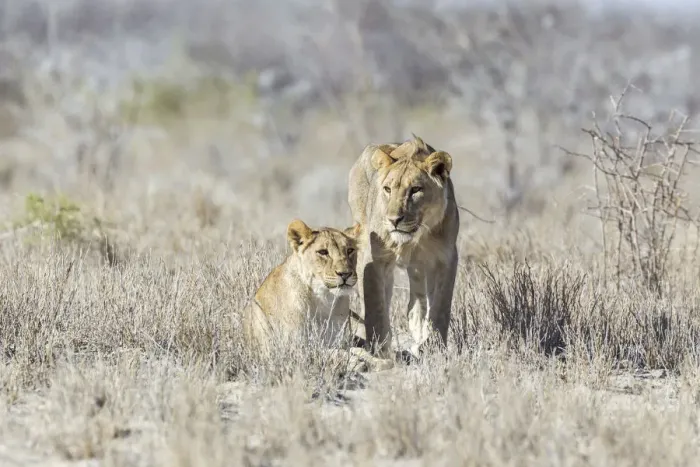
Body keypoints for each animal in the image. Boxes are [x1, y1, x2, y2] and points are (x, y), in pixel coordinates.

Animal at [241, 218, 394, 372]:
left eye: (350, 250)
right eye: (323, 252)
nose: (345, 274)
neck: (324, 299)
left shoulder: (339, 340)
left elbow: (358, 350)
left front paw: (379, 361)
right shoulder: (293, 348)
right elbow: (331, 352)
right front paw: (355, 363)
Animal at [348, 135, 459, 359]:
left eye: (416, 189)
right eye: (387, 189)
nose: (393, 220)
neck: (417, 236)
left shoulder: (446, 258)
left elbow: (441, 306)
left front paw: (434, 347)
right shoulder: (374, 259)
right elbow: (375, 306)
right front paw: (379, 349)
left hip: (418, 265)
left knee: (418, 300)